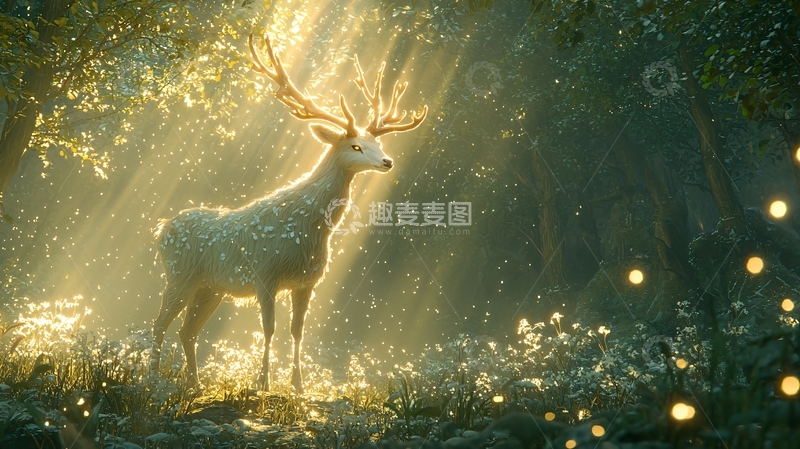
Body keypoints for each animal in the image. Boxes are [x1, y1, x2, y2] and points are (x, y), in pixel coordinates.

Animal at [149, 33, 427, 394]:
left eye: (377, 144)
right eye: (355, 146)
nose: (387, 161)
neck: (310, 231)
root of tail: (161, 229)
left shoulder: (307, 281)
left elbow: (297, 331)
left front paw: (298, 385)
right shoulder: (265, 272)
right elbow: (269, 329)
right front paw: (263, 382)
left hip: (210, 287)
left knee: (187, 331)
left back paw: (195, 386)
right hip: (180, 275)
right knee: (159, 323)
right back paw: (151, 378)